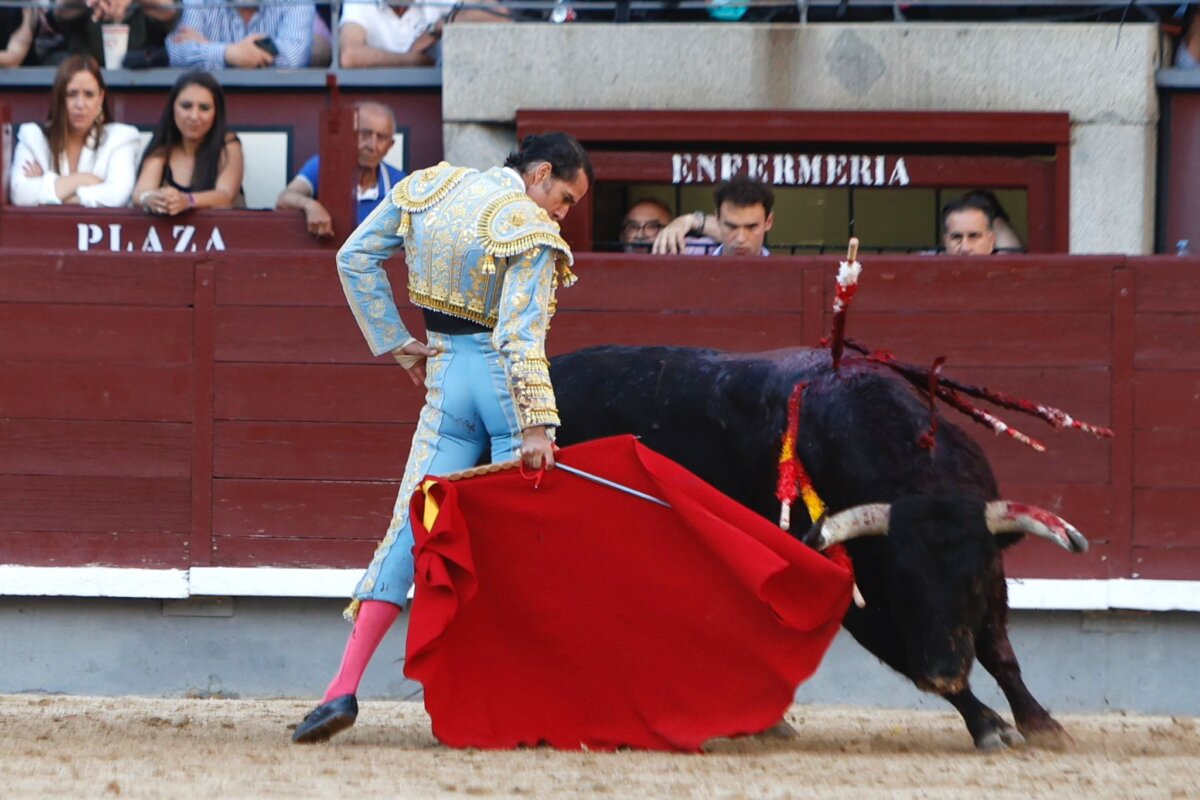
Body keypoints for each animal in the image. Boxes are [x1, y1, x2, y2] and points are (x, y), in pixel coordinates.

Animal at [550, 344, 1089, 751]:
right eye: (901, 585)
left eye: (973, 579)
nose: (943, 673)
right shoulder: (857, 597)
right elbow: (901, 651)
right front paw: (989, 725)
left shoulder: (992, 575)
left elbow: (999, 651)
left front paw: (1041, 724)